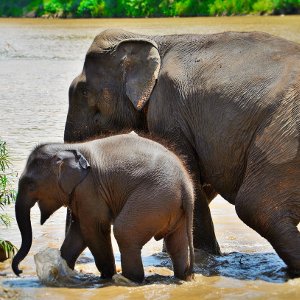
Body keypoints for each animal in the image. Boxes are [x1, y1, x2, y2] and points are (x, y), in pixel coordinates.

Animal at [11, 133, 195, 282]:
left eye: (30, 184)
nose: (19, 271)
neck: (68, 147)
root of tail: (185, 185)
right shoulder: (81, 194)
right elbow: (78, 231)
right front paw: (61, 270)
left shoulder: (89, 188)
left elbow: (94, 229)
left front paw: (106, 276)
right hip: (172, 206)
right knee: (176, 244)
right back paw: (182, 276)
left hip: (153, 198)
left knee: (124, 232)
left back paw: (128, 280)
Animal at [63, 28, 300, 272]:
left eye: (83, 91)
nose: (73, 264)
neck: (156, 40)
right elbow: (201, 184)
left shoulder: (168, 112)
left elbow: (190, 177)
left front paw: (202, 254)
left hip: (284, 134)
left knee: (256, 207)